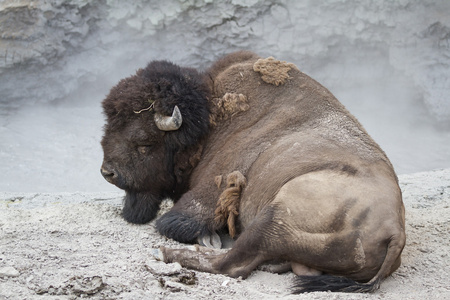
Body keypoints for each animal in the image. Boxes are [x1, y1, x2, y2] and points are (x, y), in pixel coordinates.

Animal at [100, 51, 406, 292]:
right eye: (108, 127)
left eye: (144, 143)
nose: (108, 173)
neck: (208, 121)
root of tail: (395, 232)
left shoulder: (210, 192)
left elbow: (174, 222)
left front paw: (203, 238)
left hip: (274, 217)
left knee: (232, 264)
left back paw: (165, 253)